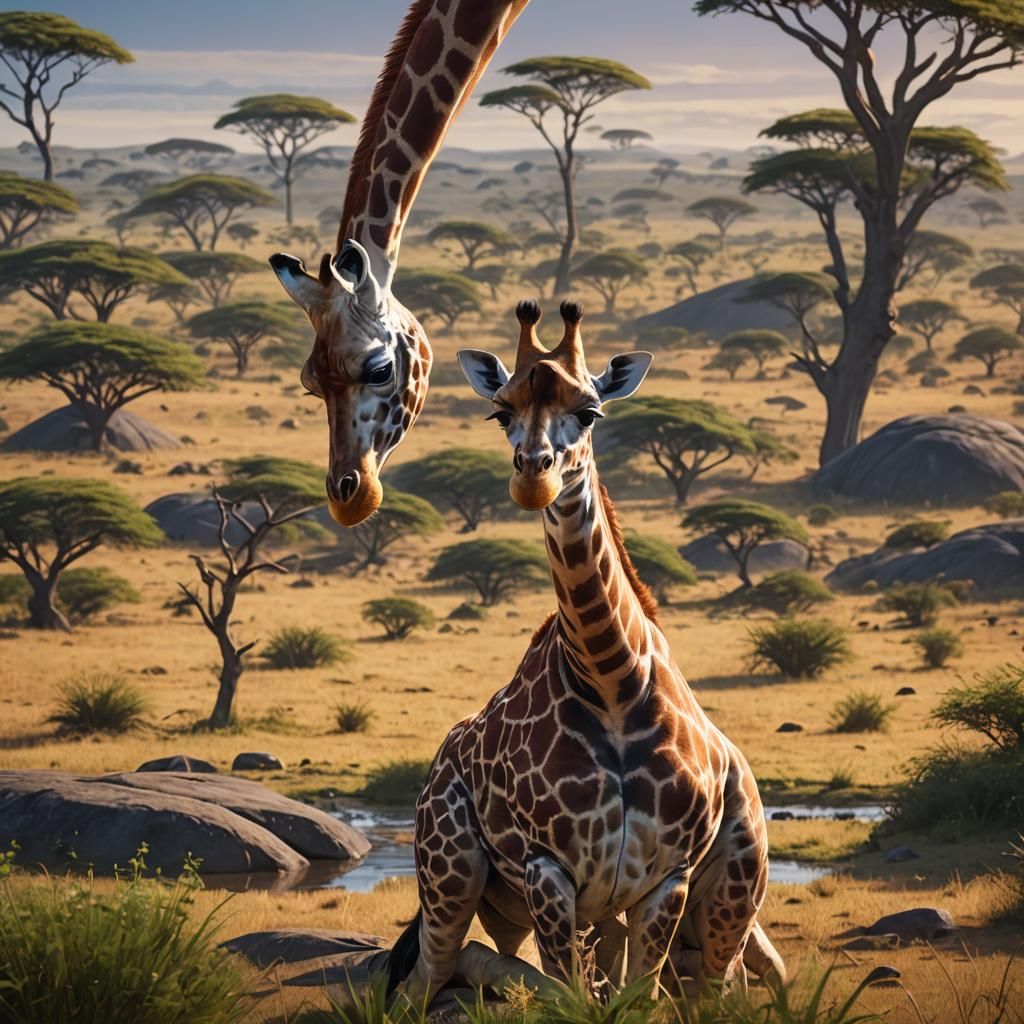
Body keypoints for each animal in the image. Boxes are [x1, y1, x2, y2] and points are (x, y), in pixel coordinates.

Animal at [386, 300, 785, 1006]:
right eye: (501, 412)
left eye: (591, 410)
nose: (533, 476)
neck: (613, 682)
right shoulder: (548, 869)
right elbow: (573, 997)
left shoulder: (666, 877)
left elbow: (638, 1002)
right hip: (452, 877)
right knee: (428, 978)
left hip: (730, 892)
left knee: (725, 984)